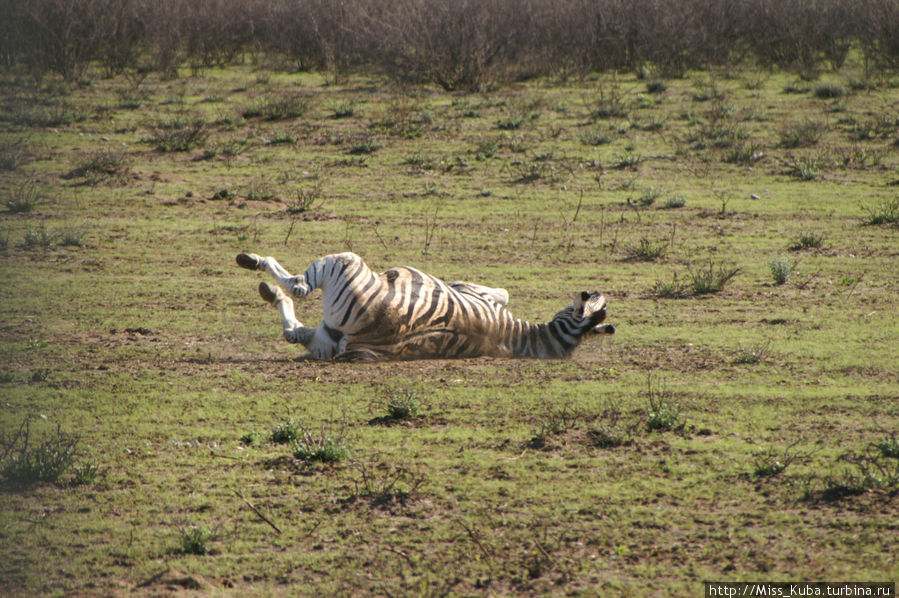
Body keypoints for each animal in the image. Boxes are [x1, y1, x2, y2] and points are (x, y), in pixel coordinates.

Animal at [236, 252, 616, 364]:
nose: (595, 290)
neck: (522, 338)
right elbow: (505, 292)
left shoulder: (475, 292)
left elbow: (499, 291)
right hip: (325, 342)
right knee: (294, 330)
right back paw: (272, 291)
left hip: (346, 263)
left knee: (299, 287)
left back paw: (256, 265)